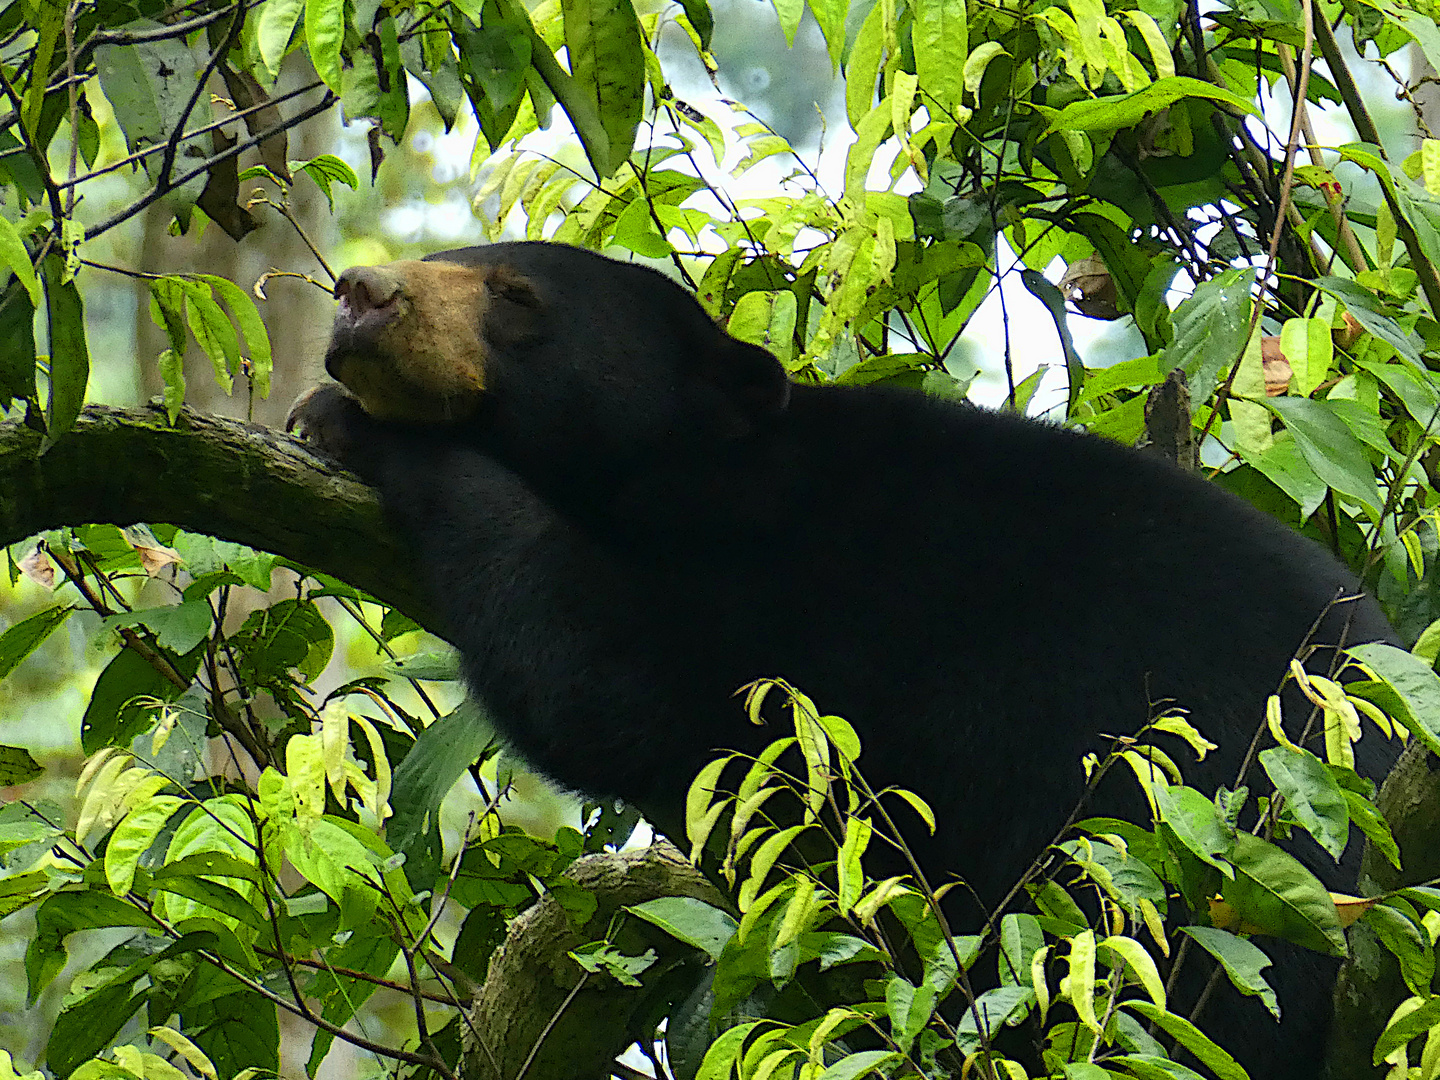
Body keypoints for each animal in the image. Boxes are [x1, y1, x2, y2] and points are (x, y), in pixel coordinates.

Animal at [286, 240, 1399, 1077]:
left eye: (516, 293)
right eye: (447, 259)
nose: (363, 295)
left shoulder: (813, 601)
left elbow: (610, 685)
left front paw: (356, 430)